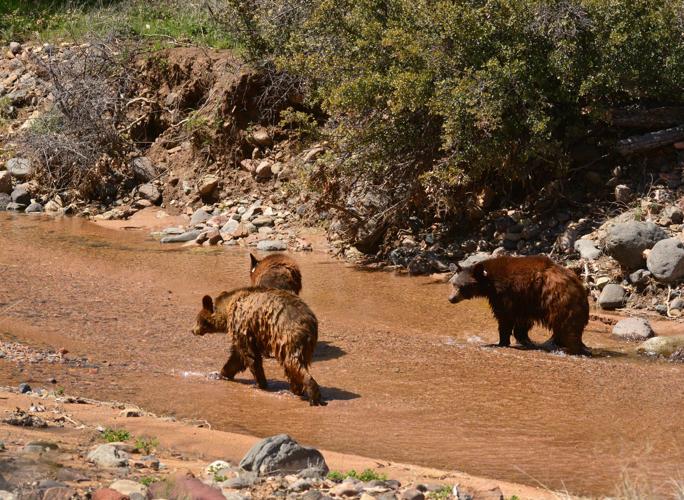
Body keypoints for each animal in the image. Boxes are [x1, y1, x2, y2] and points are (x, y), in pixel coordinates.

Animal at [192, 287, 325, 405]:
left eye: (198, 319)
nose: (192, 330)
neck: (228, 309)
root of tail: (309, 323)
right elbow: (237, 357)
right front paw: (222, 373)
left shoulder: (243, 325)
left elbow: (250, 355)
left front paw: (259, 383)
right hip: (306, 345)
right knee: (294, 365)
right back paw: (296, 389)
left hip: (287, 337)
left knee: (292, 362)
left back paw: (311, 394)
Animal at [447, 255, 590, 355]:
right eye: (454, 284)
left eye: (462, 286)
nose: (451, 298)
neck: (489, 283)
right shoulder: (525, 301)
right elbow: (522, 321)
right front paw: (524, 340)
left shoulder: (507, 293)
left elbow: (504, 317)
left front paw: (499, 342)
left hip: (561, 303)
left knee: (568, 327)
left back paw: (573, 348)